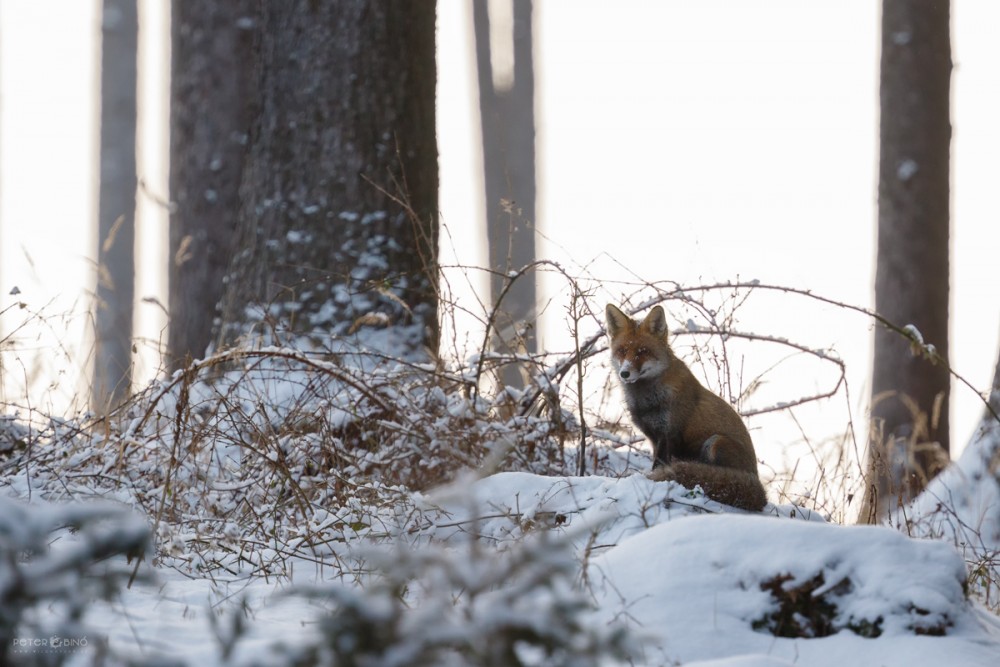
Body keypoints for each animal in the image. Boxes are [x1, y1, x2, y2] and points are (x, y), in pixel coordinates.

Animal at [608, 302, 764, 512]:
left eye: (642, 351)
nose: (625, 373)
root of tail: (759, 489)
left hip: (715, 442)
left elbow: (659, 466)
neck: (647, 399)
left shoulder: (669, 434)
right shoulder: (654, 437)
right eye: (622, 350)